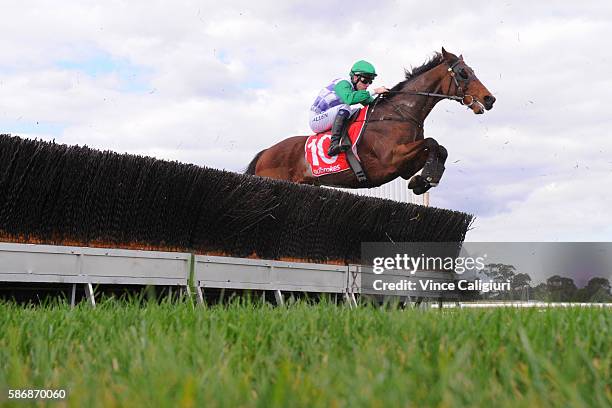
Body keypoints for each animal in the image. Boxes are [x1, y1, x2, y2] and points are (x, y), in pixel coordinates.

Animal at [246, 47, 494, 194]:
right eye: (463, 73)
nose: (489, 98)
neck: (400, 114)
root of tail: (265, 153)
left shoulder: (404, 166)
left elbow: (440, 148)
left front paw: (423, 180)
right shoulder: (390, 158)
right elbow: (432, 142)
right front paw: (427, 177)